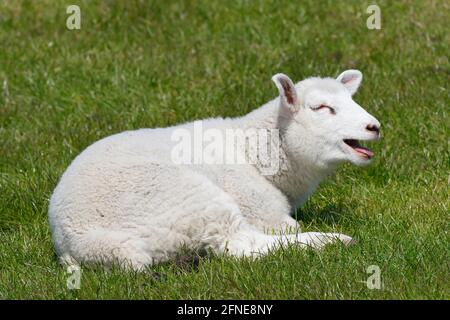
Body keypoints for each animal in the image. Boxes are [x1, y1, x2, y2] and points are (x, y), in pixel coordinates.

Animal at [48, 70, 380, 270]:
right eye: (321, 108)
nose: (374, 127)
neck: (254, 152)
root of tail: (77, 244)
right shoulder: (261, 208)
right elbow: (285, 228)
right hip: (187, 198)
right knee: (240, 245)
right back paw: (331, 241)